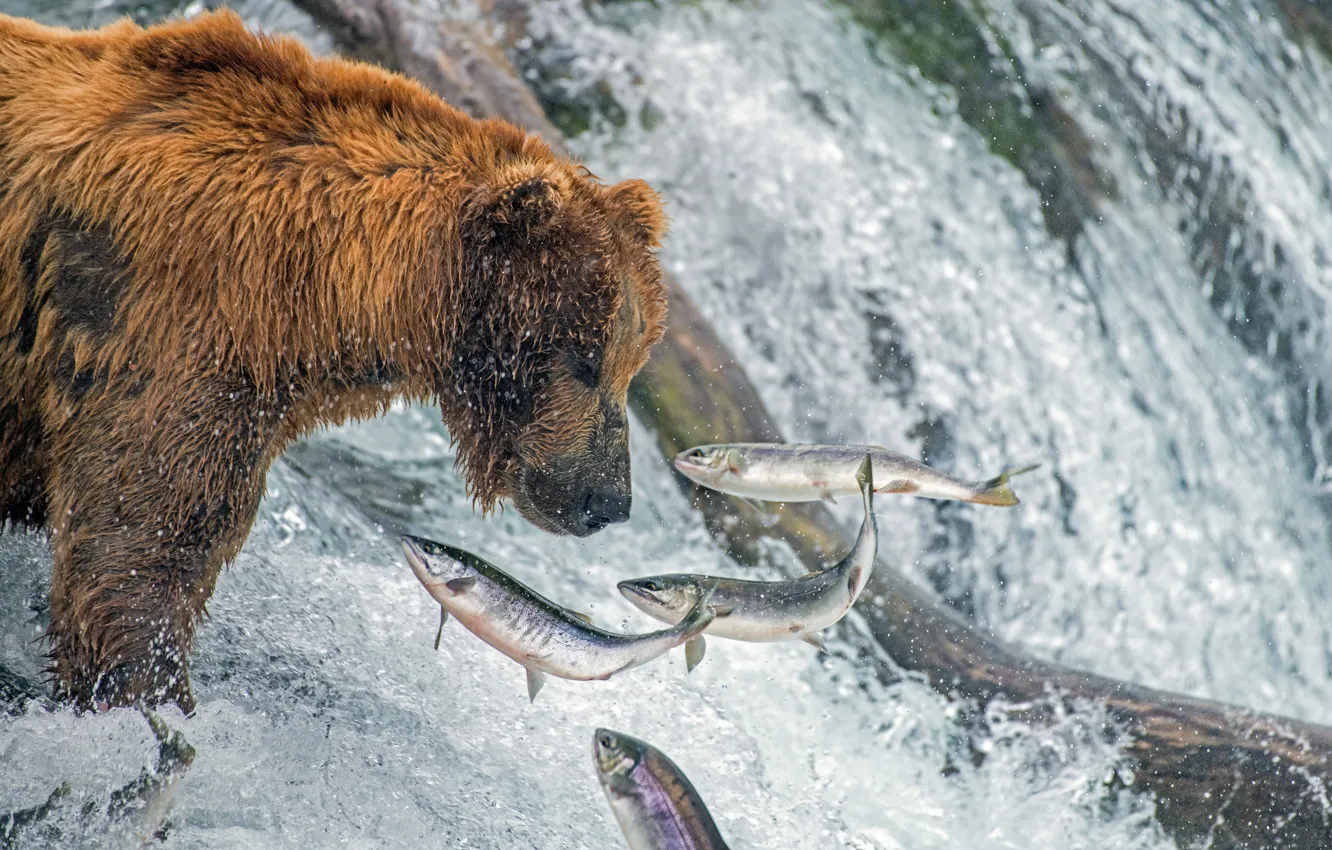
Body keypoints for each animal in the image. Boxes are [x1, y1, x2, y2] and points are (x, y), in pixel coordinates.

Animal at [0, 9, 666, 714]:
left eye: (632, 362)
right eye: (585, 358)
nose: (608, 500)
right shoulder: (165, 328)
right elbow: (140, 545)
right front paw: (145, 693)